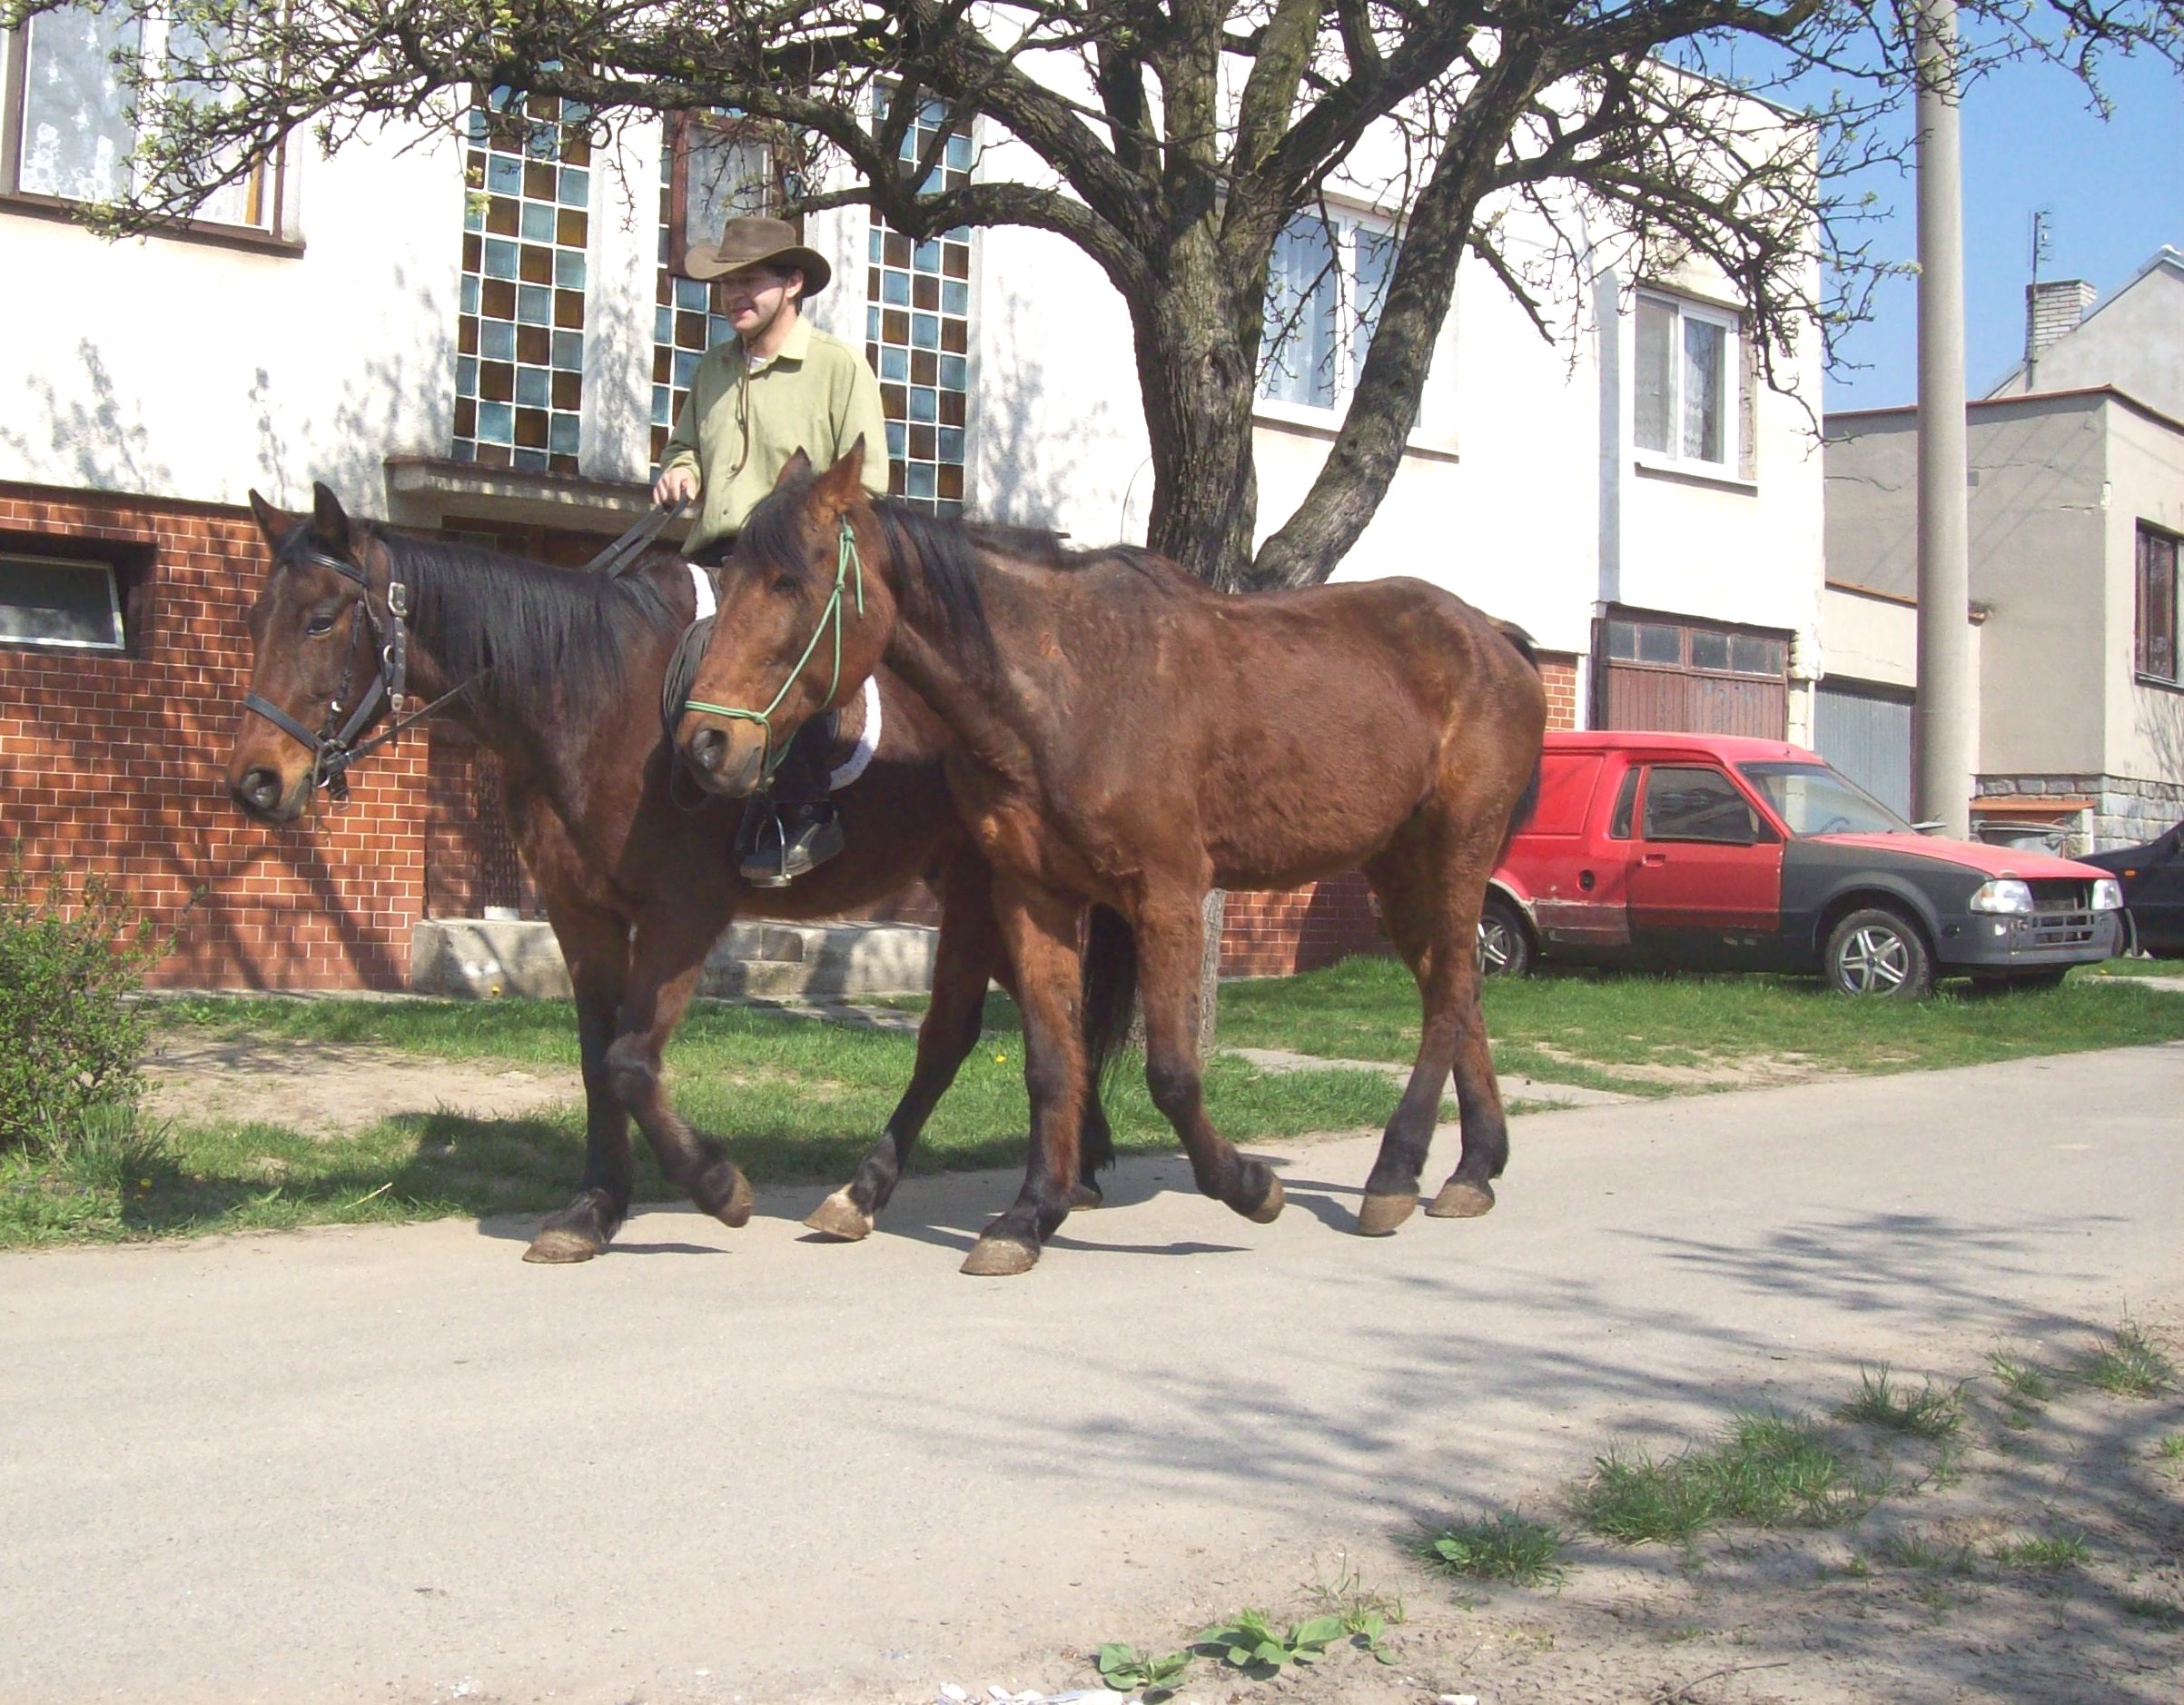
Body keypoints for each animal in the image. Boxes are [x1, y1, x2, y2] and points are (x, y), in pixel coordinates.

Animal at [228, 485, 1135, 1259]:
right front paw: (593, 1209)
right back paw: (1058, 1169)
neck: (589, 694)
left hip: (991, 884)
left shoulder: (683, 913)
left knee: (979, 1028)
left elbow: (631, 1061)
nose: (256, 783)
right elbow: (598, 1061)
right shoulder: (580, 912)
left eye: (320, 621)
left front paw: (717, 1185)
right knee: (1030, 1018)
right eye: (254, 617)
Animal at [672, 445, 1546, 1267]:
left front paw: (1247, 1186)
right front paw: (1028, 1216)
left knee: (1448, 995)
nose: (706, 743)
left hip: (1456, 846)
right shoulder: (1031, 896)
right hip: (1395, 866)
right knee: (1452, 988)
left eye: (790, 581)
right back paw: (1472, 1168)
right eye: (730, 575)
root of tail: (1490, 636)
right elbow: (1050, 1064)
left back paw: (1394, 1174)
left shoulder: (1166, 895)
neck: (1068, 687)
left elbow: (1170, 1070)